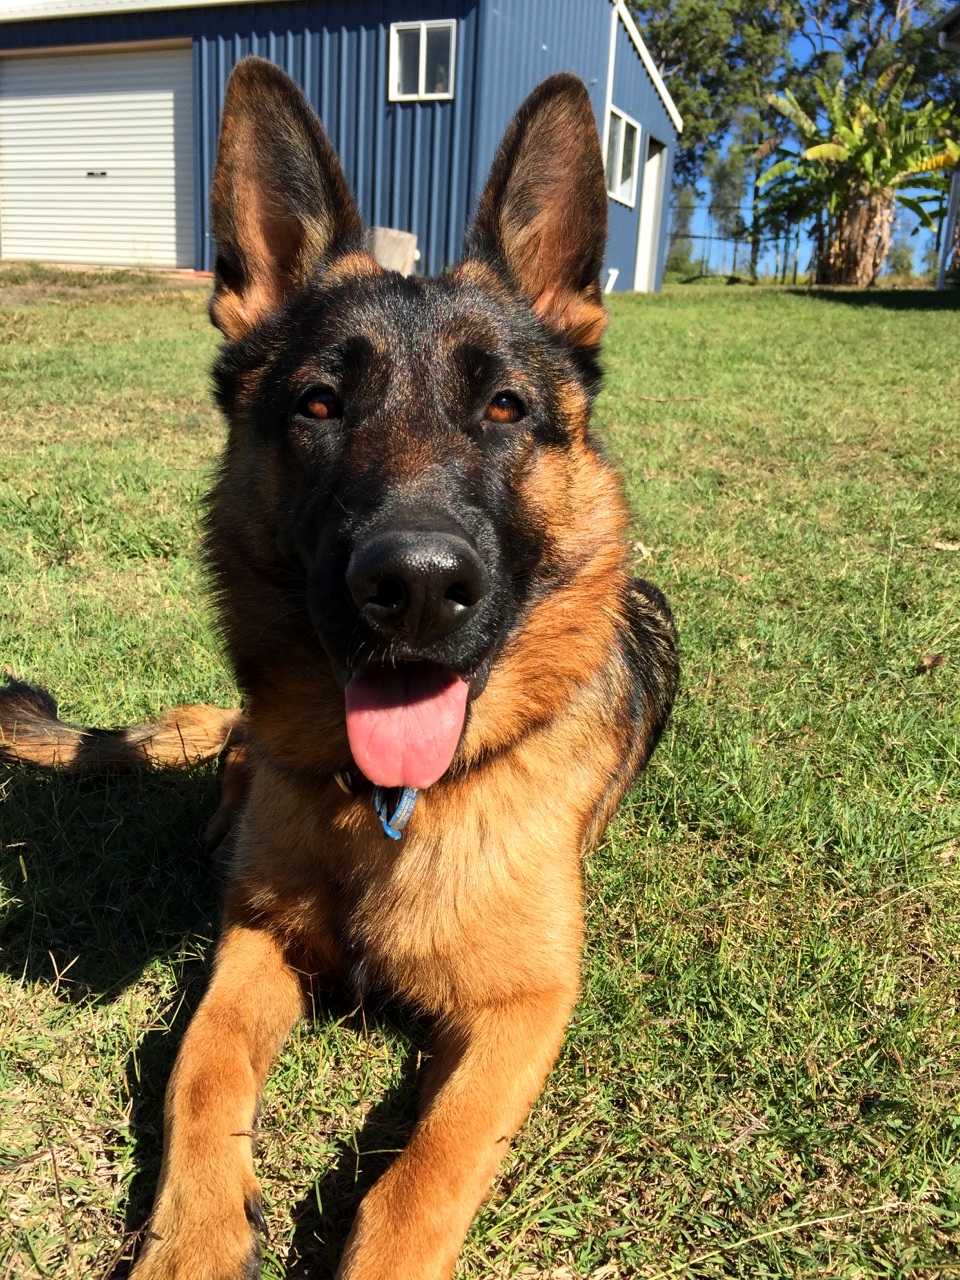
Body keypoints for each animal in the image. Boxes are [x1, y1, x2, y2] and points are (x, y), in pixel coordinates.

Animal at [0, 57, 675, 1269]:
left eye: (503, 406)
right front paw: (193, 1235)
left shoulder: (525, 1006)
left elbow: (430, 1165)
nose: (414, 585)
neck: (391, 811)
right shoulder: (254, 941)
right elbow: (198, 1066)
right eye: (319, 403)